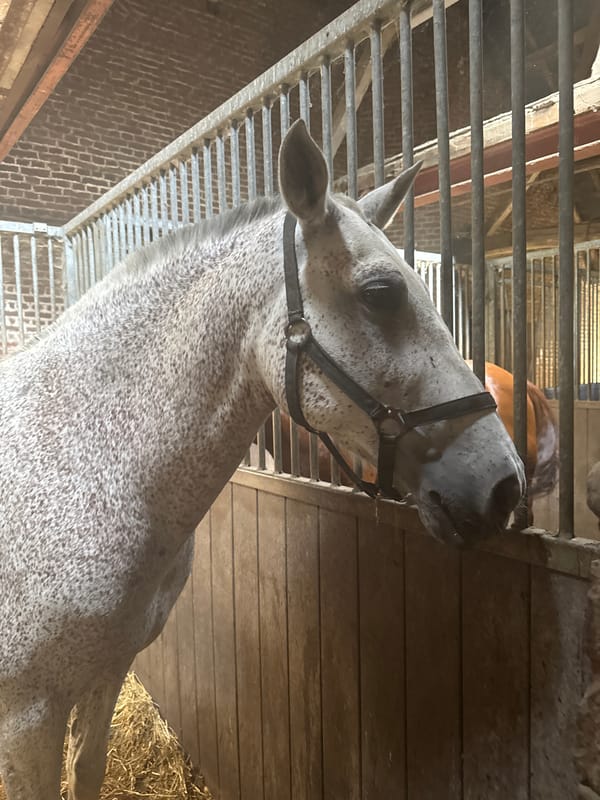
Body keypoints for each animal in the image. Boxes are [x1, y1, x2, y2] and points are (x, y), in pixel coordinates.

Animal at [0, 120, 524, 799]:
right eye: (381, 293)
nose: (505, 485)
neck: (83, 459)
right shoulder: (27, 716)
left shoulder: (106, 672)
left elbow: (86, 771)